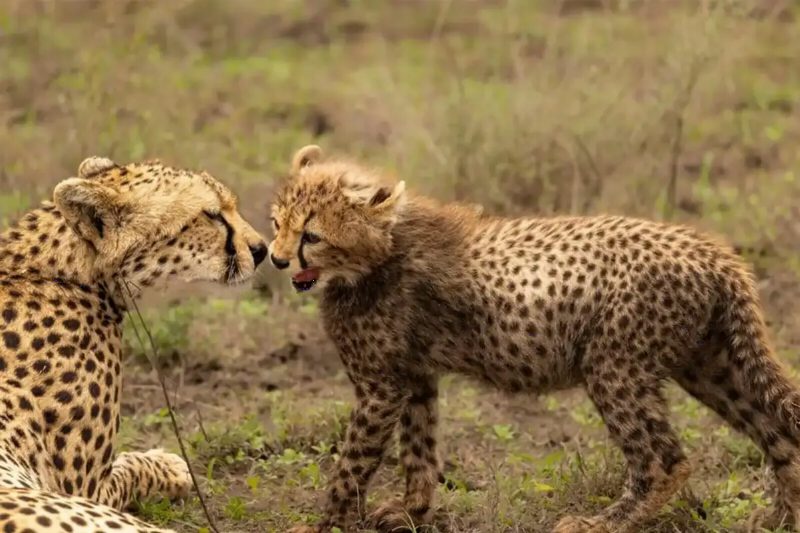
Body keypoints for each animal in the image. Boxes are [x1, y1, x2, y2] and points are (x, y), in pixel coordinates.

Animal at [269, 145, 800, 533]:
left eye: (312, 235)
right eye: (277, 223)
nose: (275, 258)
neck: (376, 256)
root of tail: (711, 249)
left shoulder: (380, 388)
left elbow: (352, 464)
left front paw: (323, 524)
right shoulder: (414, 376)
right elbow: (419, 450)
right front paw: (411, 512)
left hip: (615, 366)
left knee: (665, 461)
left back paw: (603, 523)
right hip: (710, 363)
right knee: (778, 432)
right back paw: (780, 517)